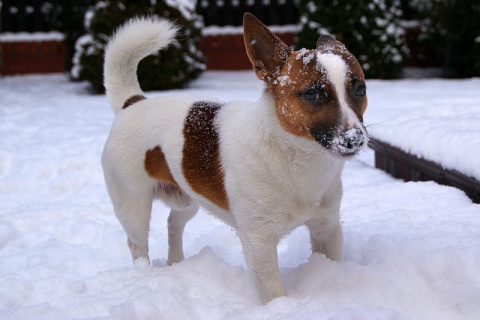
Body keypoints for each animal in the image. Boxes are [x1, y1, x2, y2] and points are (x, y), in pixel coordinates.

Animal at [103, 13, 370, 302]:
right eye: (312, 93)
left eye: (360, 89)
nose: (355, 139)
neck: (295, 157)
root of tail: (133, 102)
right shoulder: (258, 241)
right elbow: (273, 291)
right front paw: (281, 307)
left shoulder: (326, 228)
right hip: (134, 207)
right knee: (137, 245)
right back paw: (144, 273)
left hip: (188, 198)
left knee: (174, 223)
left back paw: (177, 262)